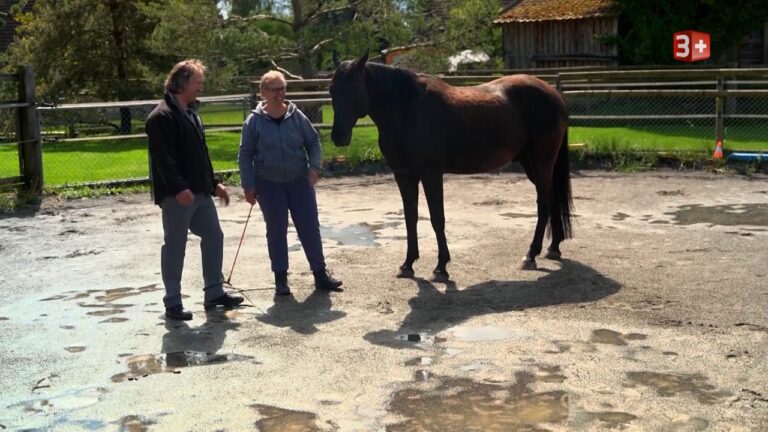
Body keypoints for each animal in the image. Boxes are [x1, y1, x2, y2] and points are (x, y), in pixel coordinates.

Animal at [330, 51, 573, 279]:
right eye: (332, 90)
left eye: (353, 89)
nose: (338, 137)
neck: (407, 110)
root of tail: (555, 95)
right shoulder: (404, 175)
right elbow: (410, 218)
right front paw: (407, 264)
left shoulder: (431, 174)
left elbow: (437, 218)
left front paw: (441, 267)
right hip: (531, 163)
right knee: (552, 199)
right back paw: (553, 247)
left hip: (541, 162)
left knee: (543, 203)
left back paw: (531, 255)